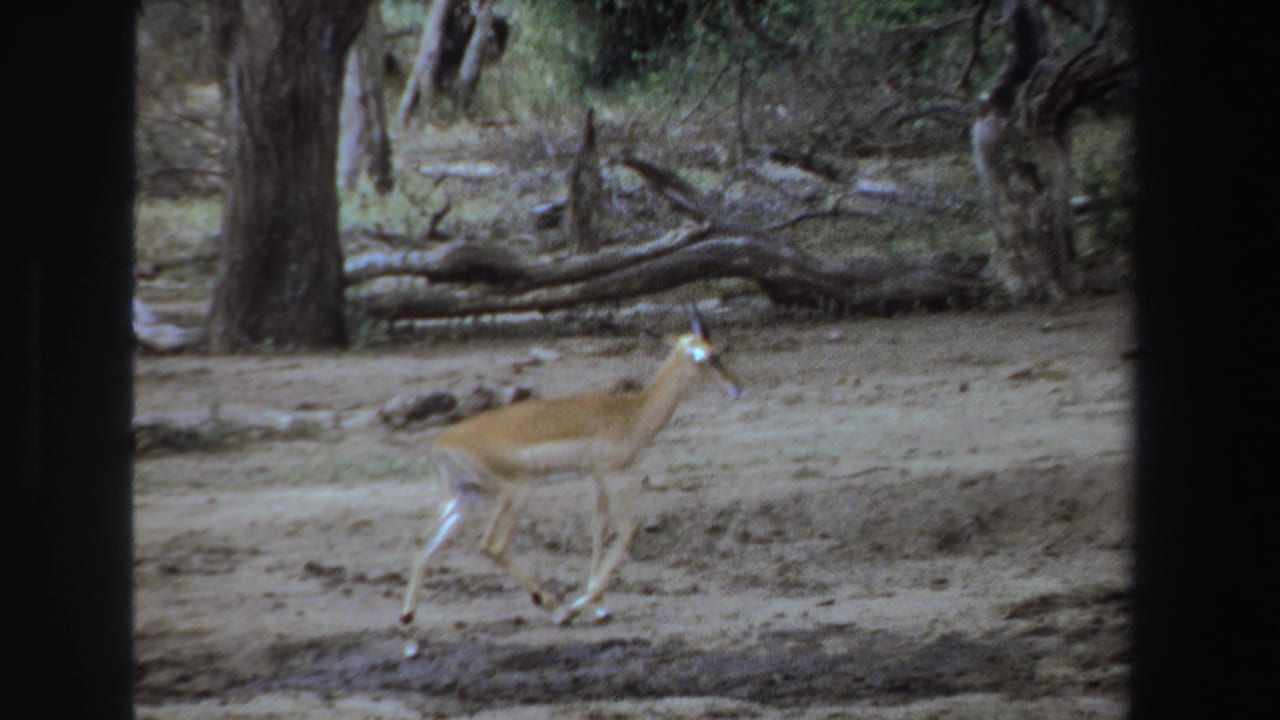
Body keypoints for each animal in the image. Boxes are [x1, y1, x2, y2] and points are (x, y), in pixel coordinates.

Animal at [399, 305, 743, 658]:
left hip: (465, 499)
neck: (630, 413)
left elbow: (598, 528)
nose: (738, 387)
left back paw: (410, 633)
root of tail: (440, 445)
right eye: (713, 356)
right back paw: (559, 610)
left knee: (425, 544)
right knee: (491, 545)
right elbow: (627, 529)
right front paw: (582, 604)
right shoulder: (614, 475)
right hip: (515, 493)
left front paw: (600, 606)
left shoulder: (595, 478)